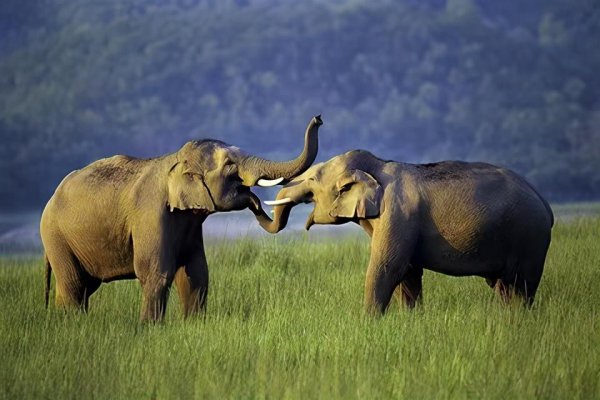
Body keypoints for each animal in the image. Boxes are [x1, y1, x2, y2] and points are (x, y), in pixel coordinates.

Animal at [39, 114, 324, 320]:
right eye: (230, 165)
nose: (319, 118)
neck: (175, 160)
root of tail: (50, 199)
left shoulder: (190, 223)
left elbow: (196, 273)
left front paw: (194, 325)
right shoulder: (150, 214)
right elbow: (156, 273)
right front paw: (149, 329)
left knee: (83, 286)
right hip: (55, 237)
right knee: (74, 285)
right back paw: (72, 325)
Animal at [258, 148, 552, 314]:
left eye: (312, 179)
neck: (377, 166)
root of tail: (546, 206)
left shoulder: (398, 214)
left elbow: (387, 267)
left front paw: (368, 322)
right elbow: (409, 272)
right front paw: (410, 320)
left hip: (530, 238)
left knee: (523, 286)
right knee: (504, 286)